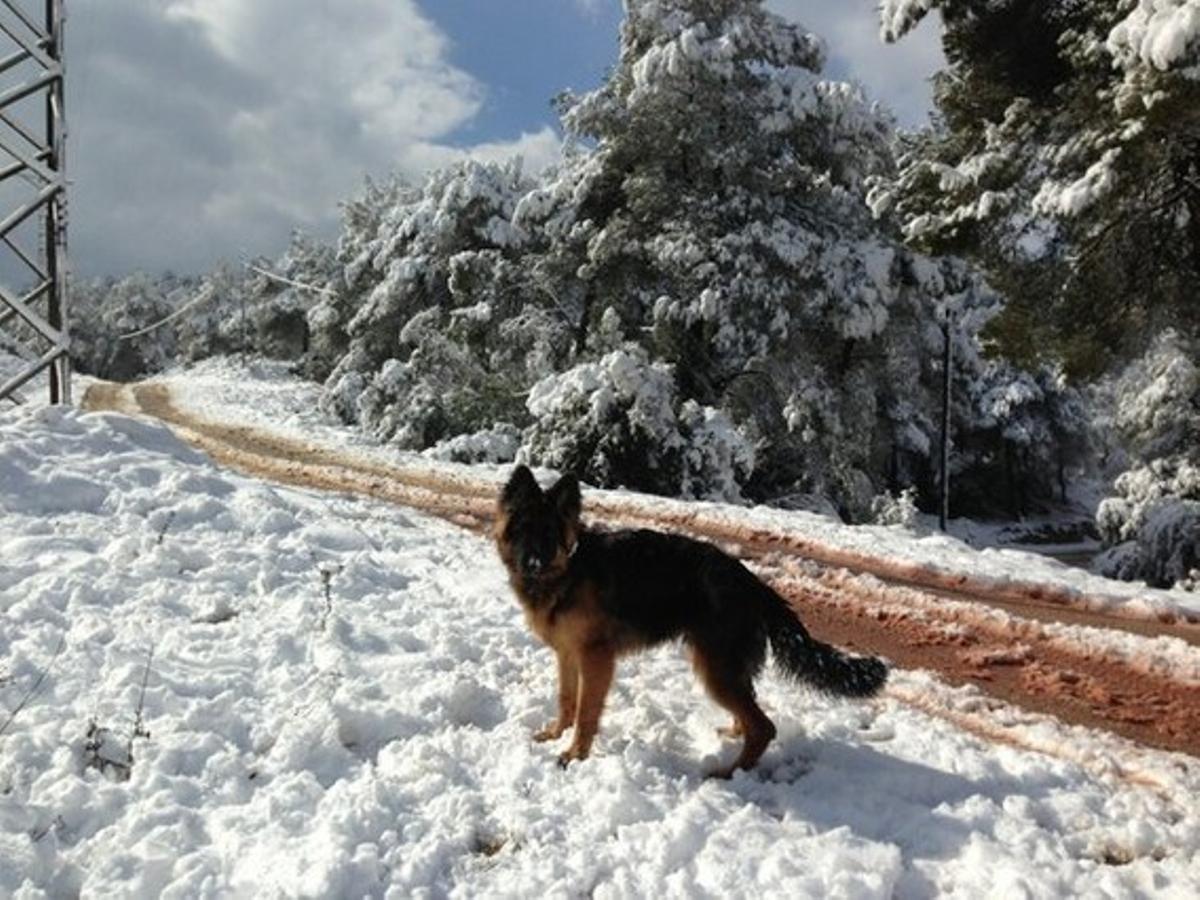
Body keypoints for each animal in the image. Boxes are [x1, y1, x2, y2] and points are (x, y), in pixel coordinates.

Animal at [492, 468, 888, 777]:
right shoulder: (567, 654)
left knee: (765, 728)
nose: (532, 563)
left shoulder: (596, 659)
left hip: (714, 670)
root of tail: (756, 585)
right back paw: (733, 732)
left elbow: (587, 711)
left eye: (548, 534)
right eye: (522, 530)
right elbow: (566, 699)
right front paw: (556, 734)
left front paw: (575, 755)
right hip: (726, 669)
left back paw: (729, 772)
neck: (569, 570)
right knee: (751, 713)